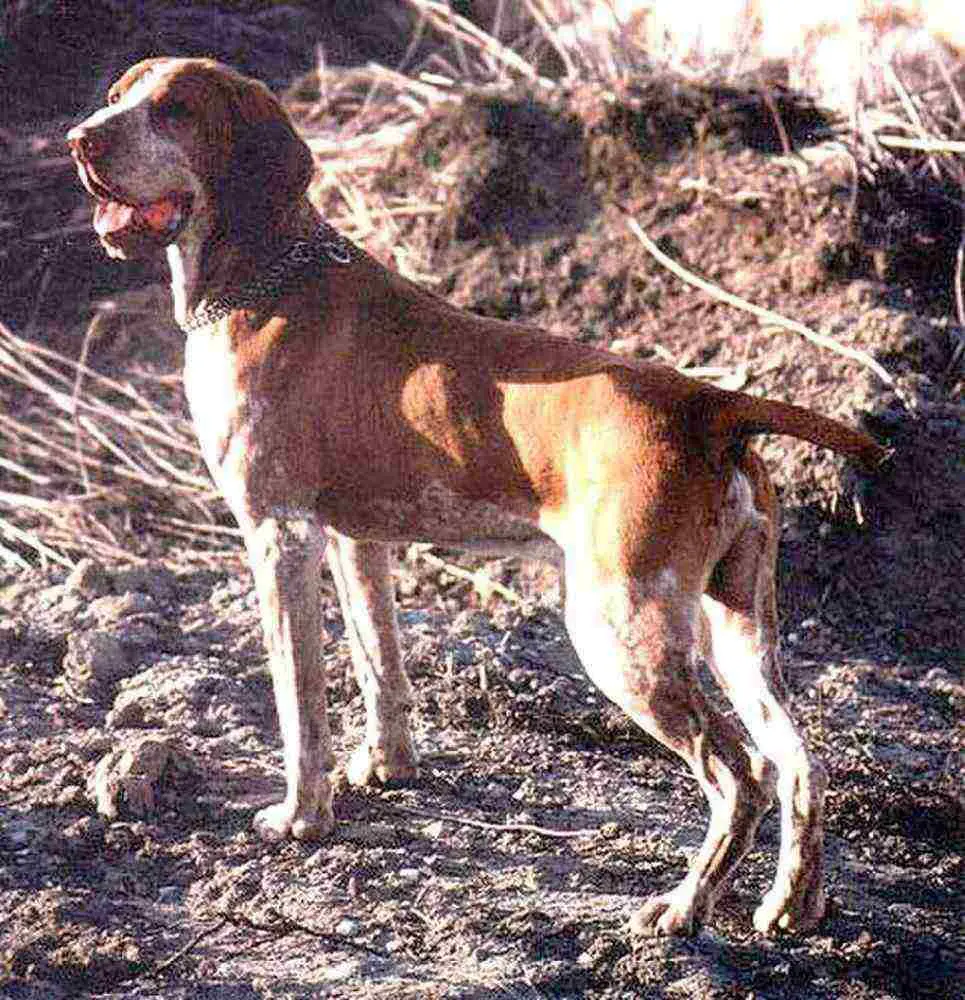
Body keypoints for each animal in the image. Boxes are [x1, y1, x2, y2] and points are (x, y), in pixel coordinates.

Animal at [64, 58, 884, 936]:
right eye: (117, 96)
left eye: (176, 111)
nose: (80, 138)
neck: (264, 274)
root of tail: (705, 402)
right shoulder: (358, 540)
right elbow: (379, 664)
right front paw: (385, 768)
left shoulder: (278, 536)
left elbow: (299, 701)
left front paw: (302, 818)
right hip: (738, 628)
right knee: (800, 762)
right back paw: (791, 905)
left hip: (620, 632)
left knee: (739, 775)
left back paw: (682, 905)